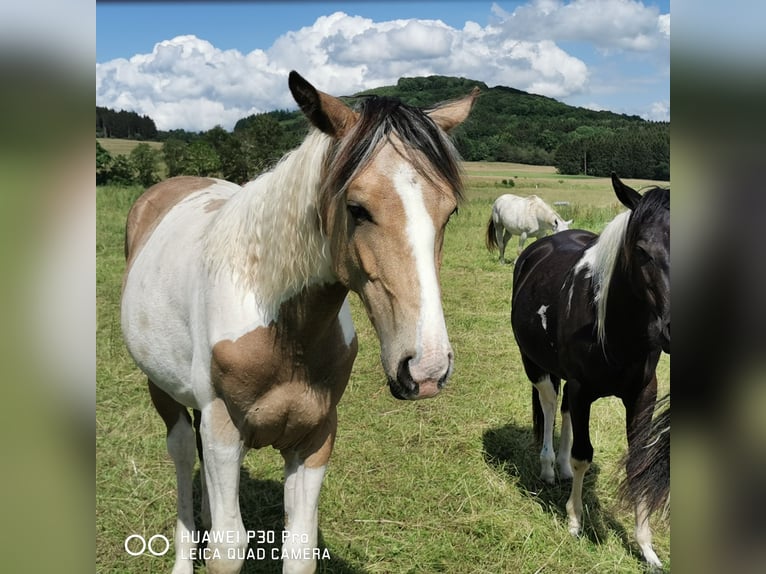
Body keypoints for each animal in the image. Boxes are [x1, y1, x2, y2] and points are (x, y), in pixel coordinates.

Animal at [120, 71, 479, 574]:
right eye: (357, 209)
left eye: (449, 211)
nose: (426, 369)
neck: (282, 332)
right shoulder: (223, 431)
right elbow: (228, 548)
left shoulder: (315, 437)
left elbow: (299, 546)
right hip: (164, 392)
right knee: (183, 453)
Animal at [509, 174, 670, 568]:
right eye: (642, 250)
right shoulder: (584, 389)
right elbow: (583, 453)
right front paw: (574, 521)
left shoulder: (644, 395)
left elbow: (639, 461)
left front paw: (646, 548)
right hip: (535, 365)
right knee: (550, 403)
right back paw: (549, 466)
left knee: (564, 407)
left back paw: (562, 468)